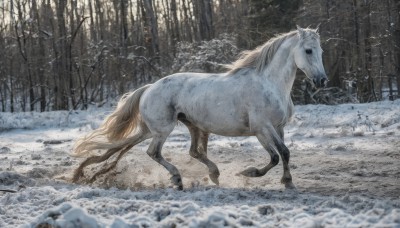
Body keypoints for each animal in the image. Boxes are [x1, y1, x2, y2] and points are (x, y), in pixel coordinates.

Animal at [73, 25, 326, 190]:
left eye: (321, 51)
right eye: (308, 51)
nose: (322, 80)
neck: (270, 83)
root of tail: (149, 87)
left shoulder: (278, 127)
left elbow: (284, 153)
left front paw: (288, 182)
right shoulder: (262, 128)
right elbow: (276, 155)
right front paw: (249, 173)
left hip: (186, 126)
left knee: (192, 152)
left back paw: (213, 174)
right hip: (163, 130)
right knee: (154, 152)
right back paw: (178, 179)